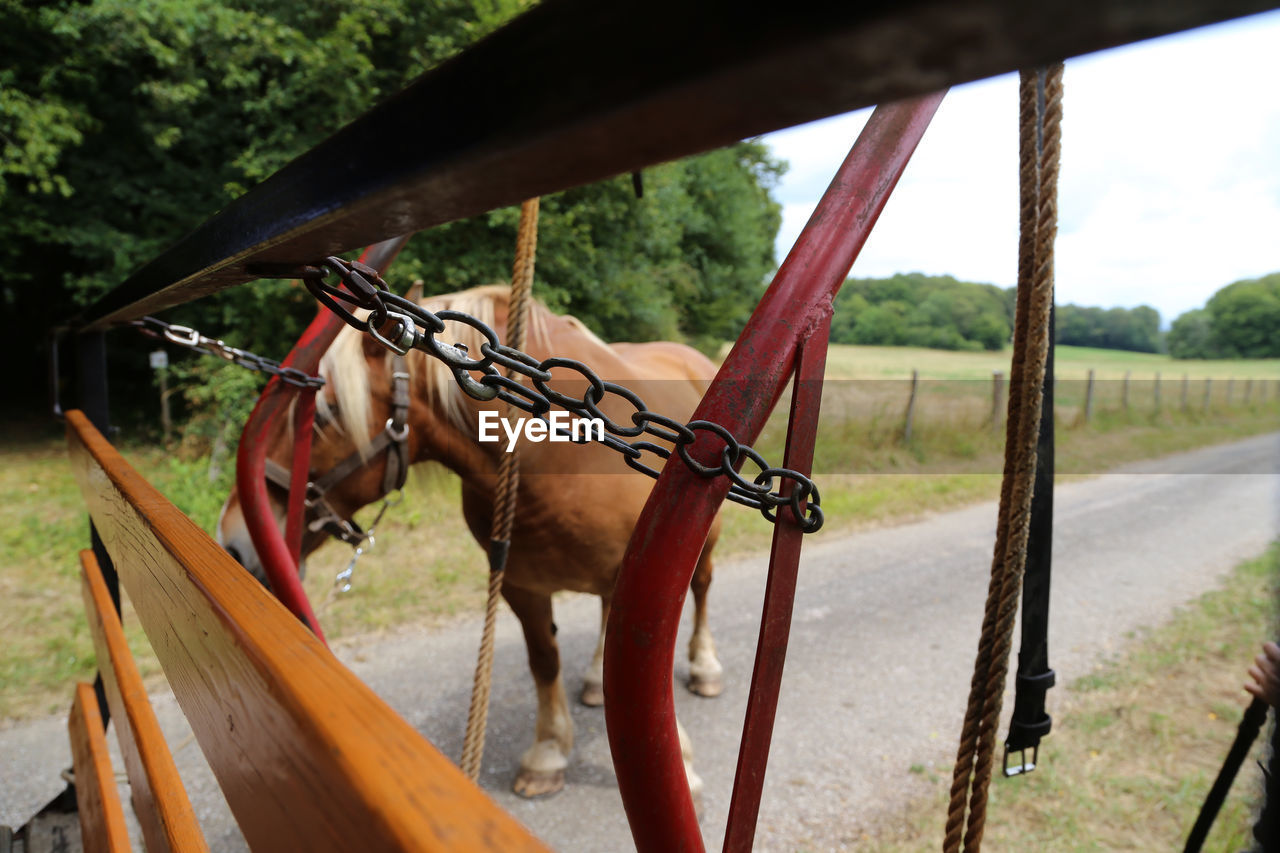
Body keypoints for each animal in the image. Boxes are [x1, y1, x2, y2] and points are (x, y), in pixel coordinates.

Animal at [215, 285, 727, 799]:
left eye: (325, 414)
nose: (234, 540)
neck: (554, 454)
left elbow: (647, 669)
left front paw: (681, 761)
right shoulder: (519, 583)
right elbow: (545, 661)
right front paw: (548, 751)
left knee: (703, 589)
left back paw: (705, 666)